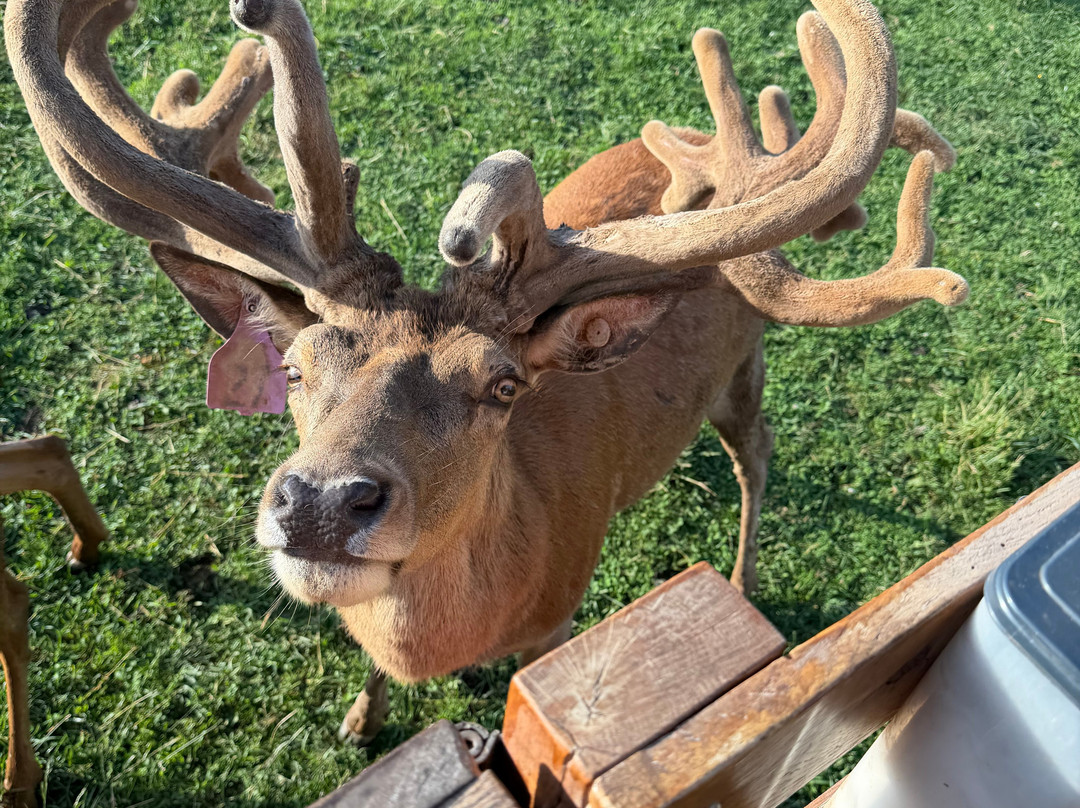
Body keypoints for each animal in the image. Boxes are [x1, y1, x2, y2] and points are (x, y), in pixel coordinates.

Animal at [5, 0, 968, 747]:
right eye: (296, 365)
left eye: (503, 386)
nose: (321, 503)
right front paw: (360, 718)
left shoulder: (558, 619)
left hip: (748, 359)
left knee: (758, 450)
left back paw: (740, 581)